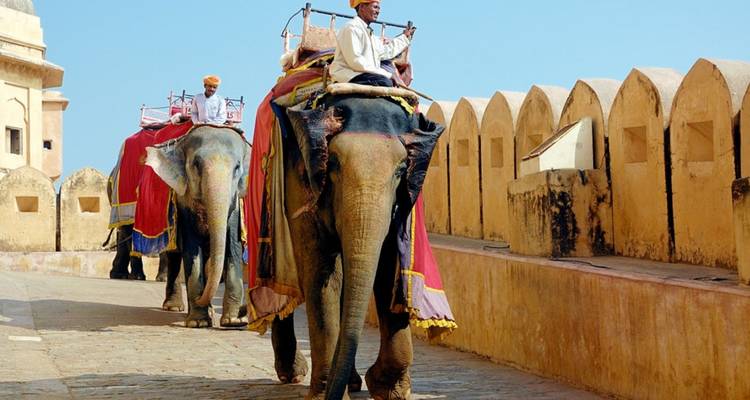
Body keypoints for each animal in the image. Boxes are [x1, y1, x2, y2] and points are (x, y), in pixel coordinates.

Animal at [146, 124, 251, 328]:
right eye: (196, 164)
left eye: (237, 167)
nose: (244, 311)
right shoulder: (184, 201)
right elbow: (192, 248)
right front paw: (198, 322)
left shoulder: (235, 203)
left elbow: (232, 246)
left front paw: (233, 321)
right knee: (174, 256)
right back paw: (174, 307)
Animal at [265, 95, 443, 399]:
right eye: (333, 163)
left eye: (401, 170)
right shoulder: (299, 183)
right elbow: (321, 273)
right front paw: (324, 395)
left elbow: (389, 267)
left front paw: (388, 389)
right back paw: (294, 374)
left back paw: (352, 382)